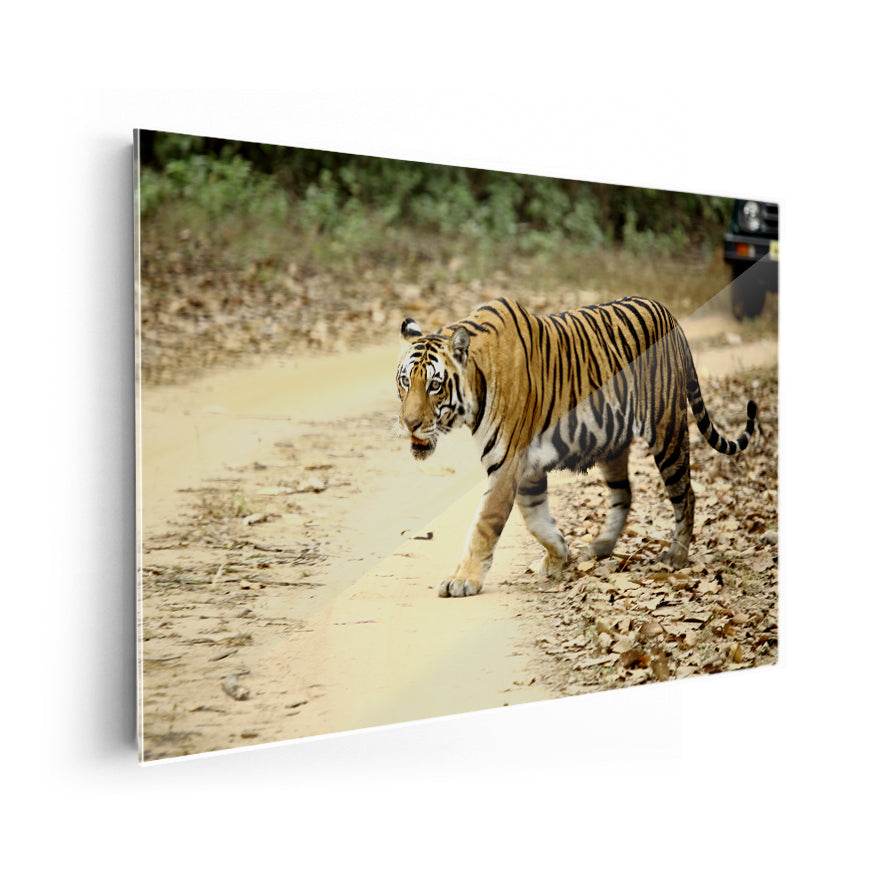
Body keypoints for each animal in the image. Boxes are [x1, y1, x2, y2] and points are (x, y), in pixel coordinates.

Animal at [395, 296, 757, 598]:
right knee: (624, 494)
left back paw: (676, 556)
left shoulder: (507, 462)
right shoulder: (526, 468)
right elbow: (536, 519)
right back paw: (600, 547)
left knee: (686, 494)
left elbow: (485, 524)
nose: (409, 423)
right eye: (405, 381)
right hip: (613, 442)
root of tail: (670, 315)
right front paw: (558, 556)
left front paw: (463, 580)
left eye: (435, 386)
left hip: (667, 429)